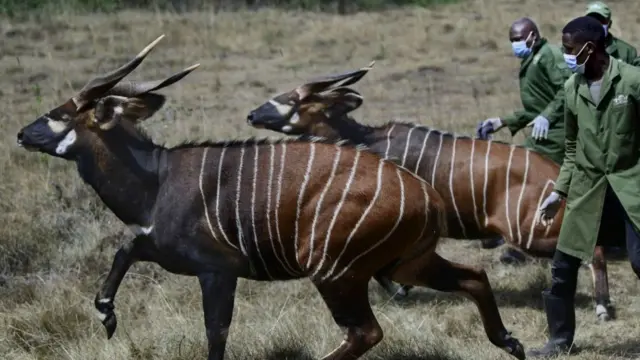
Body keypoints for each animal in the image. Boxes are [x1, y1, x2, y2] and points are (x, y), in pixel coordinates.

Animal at [15, 36, 524, 360]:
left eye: (57, 114)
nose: (21, 134)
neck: (155, 180)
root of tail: (428, 197)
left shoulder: (218, 270)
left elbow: (216, 334)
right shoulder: (155, 244)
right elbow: (124, 251)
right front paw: (107, 318)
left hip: (335, 272)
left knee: (366, 332)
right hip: (404, 264)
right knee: (474, 277)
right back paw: (511, 343)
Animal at [244, 60, 616, 322]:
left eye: (291, 99)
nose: (251, 114)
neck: (368, 142)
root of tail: (558, 175)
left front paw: (400, 292)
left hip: (529, 233)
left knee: (592, 250)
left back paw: (602, 307)